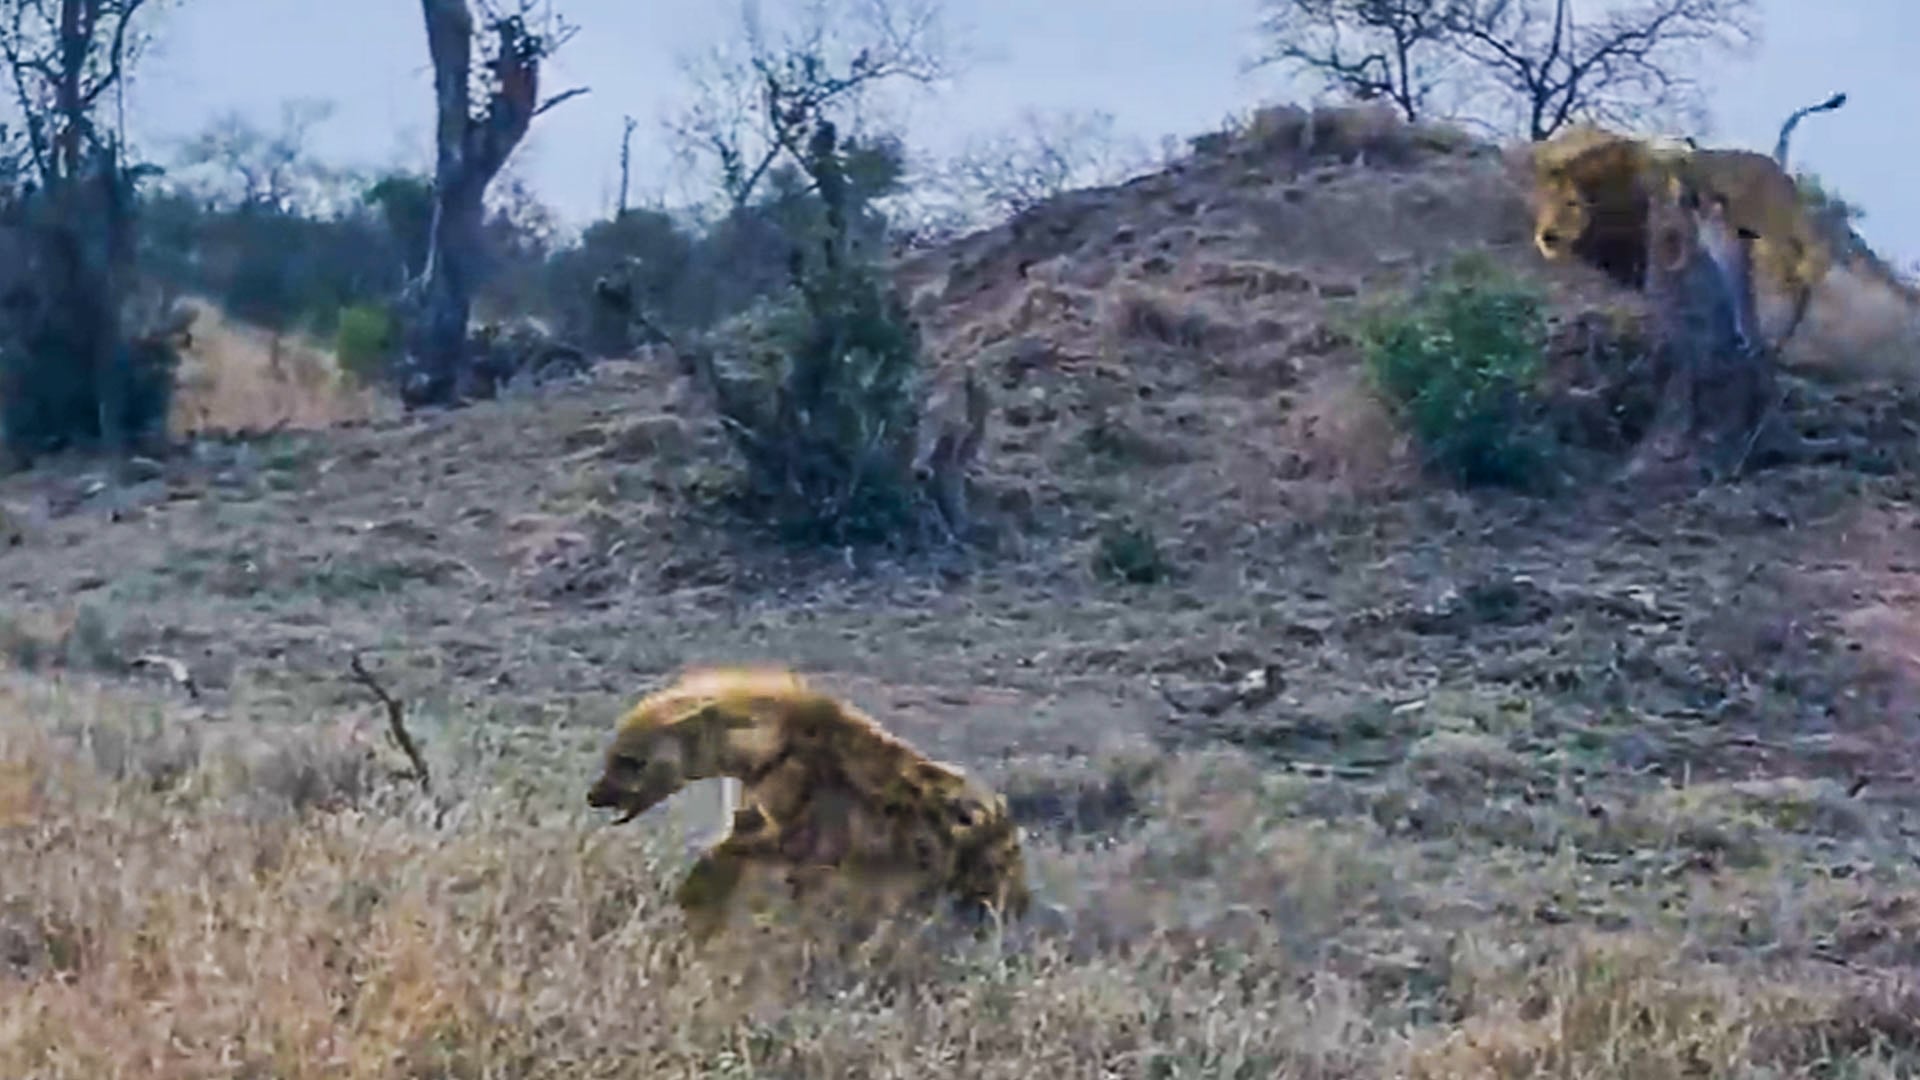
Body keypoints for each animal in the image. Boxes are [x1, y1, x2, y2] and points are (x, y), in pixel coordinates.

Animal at [585, 666, 1034, 942]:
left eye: (630, 762)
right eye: (611, 757)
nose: (594, 794)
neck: (764, 752)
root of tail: (1008, 820)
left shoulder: (810, 826)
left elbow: (748, 854)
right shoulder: (759, 811)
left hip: (979, 876)